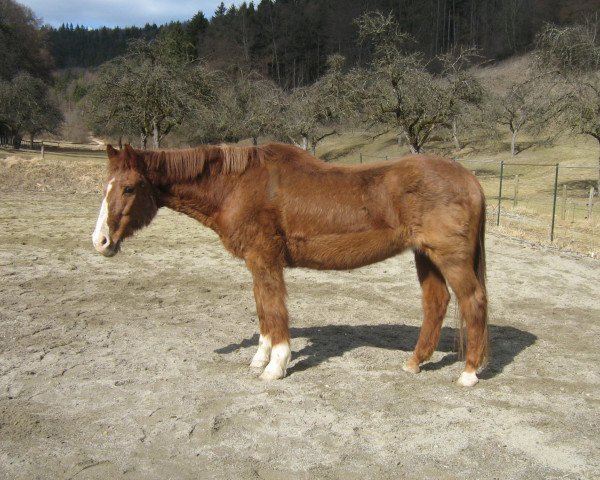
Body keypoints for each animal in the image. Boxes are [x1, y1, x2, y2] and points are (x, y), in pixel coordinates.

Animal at [92, 142, 488, 386]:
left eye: (129, 188)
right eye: (105, 185)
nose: (101, 242)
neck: (238, 185)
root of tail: (470, 178)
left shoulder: (265, 260)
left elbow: (275, 310)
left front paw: (275, 366)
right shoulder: (256, 264)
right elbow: (263, 311)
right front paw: (260, 357)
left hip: (450, 259)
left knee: (473, 302)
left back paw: (469, 373)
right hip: (426, 257)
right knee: (436, 303)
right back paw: (414, 363)